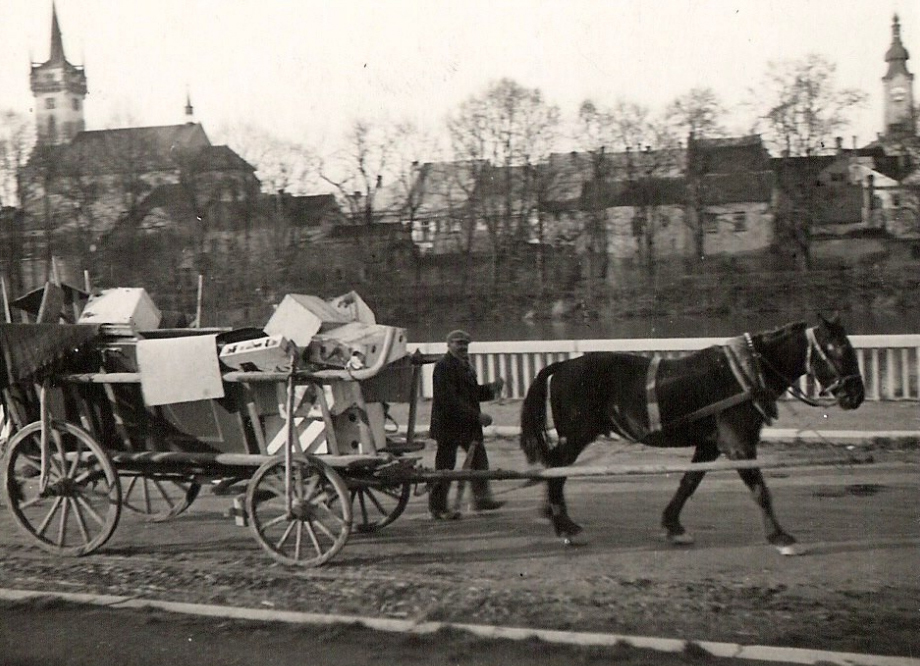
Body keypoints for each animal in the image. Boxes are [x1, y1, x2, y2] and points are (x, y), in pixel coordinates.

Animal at [520, 314, 868, 552]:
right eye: (838, 350)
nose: (856, 395)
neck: (744, 372)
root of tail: (562, 367)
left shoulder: (710, 444)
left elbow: (688, 483)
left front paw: (672, 525)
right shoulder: (738, 445)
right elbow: (760, 490)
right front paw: (780, 536)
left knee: (554, 471)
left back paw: (555, 516)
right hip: (576, 435)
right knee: (556, 471)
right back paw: (563, 525)